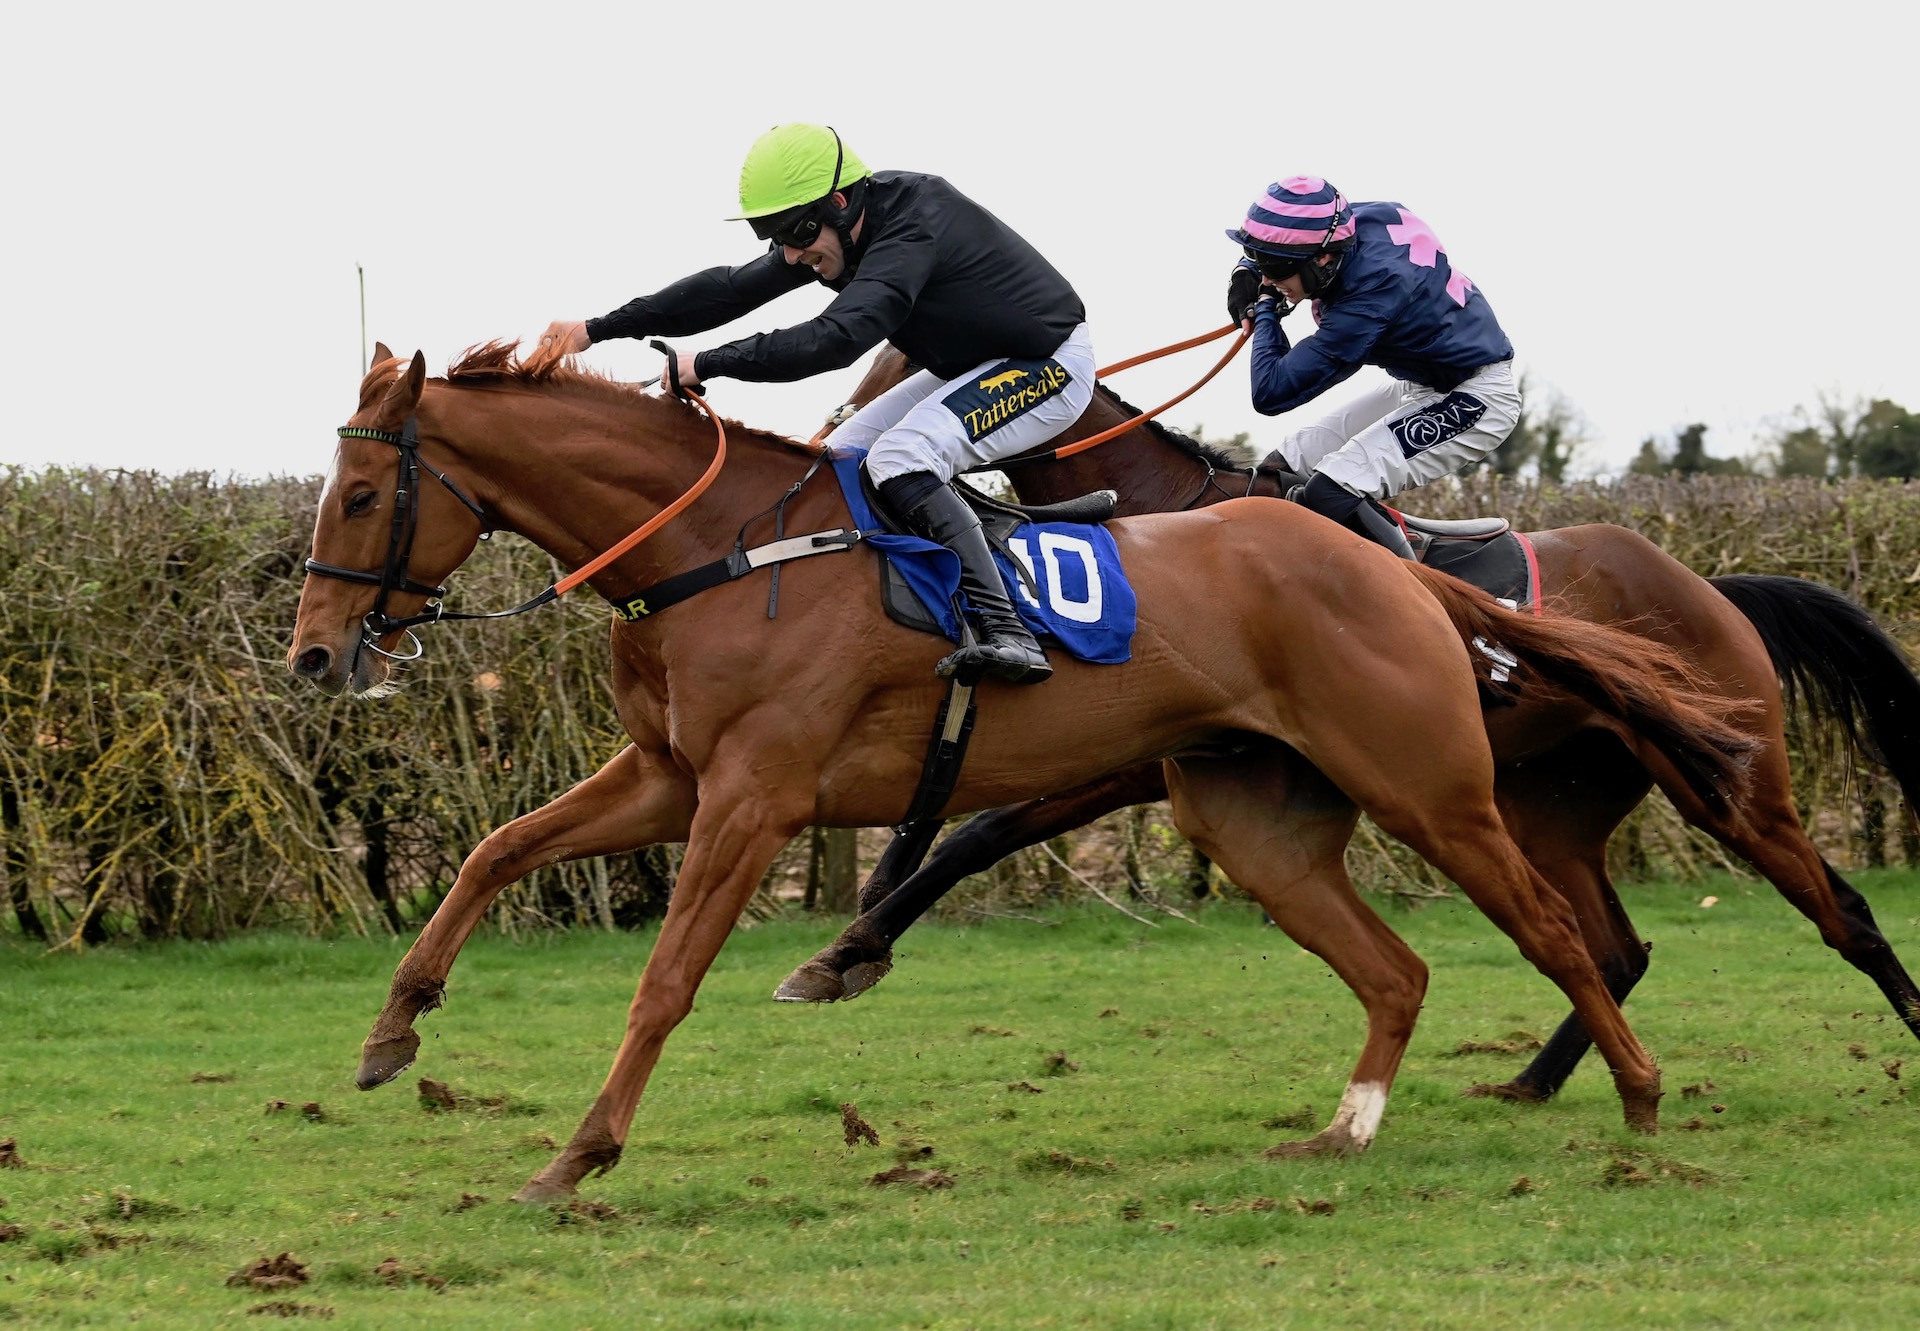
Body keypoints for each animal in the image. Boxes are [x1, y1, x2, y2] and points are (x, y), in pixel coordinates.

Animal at [288, 341, 1758, 1190]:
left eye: (359, 495)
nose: (311, 655)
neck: (720, 547)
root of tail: (1391, 565)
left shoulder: (754, 798)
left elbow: (664, 980)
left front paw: (581, 1152)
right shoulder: (668, 776)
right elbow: (493, 850)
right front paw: (390, 1029)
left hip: (1433, 789)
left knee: (1558, 930)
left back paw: (1635, 1096)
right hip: (1255, 822)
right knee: (1397, 968)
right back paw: (1345, 1129)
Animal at [779, 341, 1920, 1098]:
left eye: (911, 367)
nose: (834, 444)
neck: (1170, 529)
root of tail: (1711, 583)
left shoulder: (1144, 755)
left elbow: (981, 830)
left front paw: (855, 938)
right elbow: (964, 824)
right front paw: (854, 931)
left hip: (1731, 785)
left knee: (1843, 912)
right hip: (1552, 800)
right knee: (1617, 947)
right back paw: (1533, 1082)